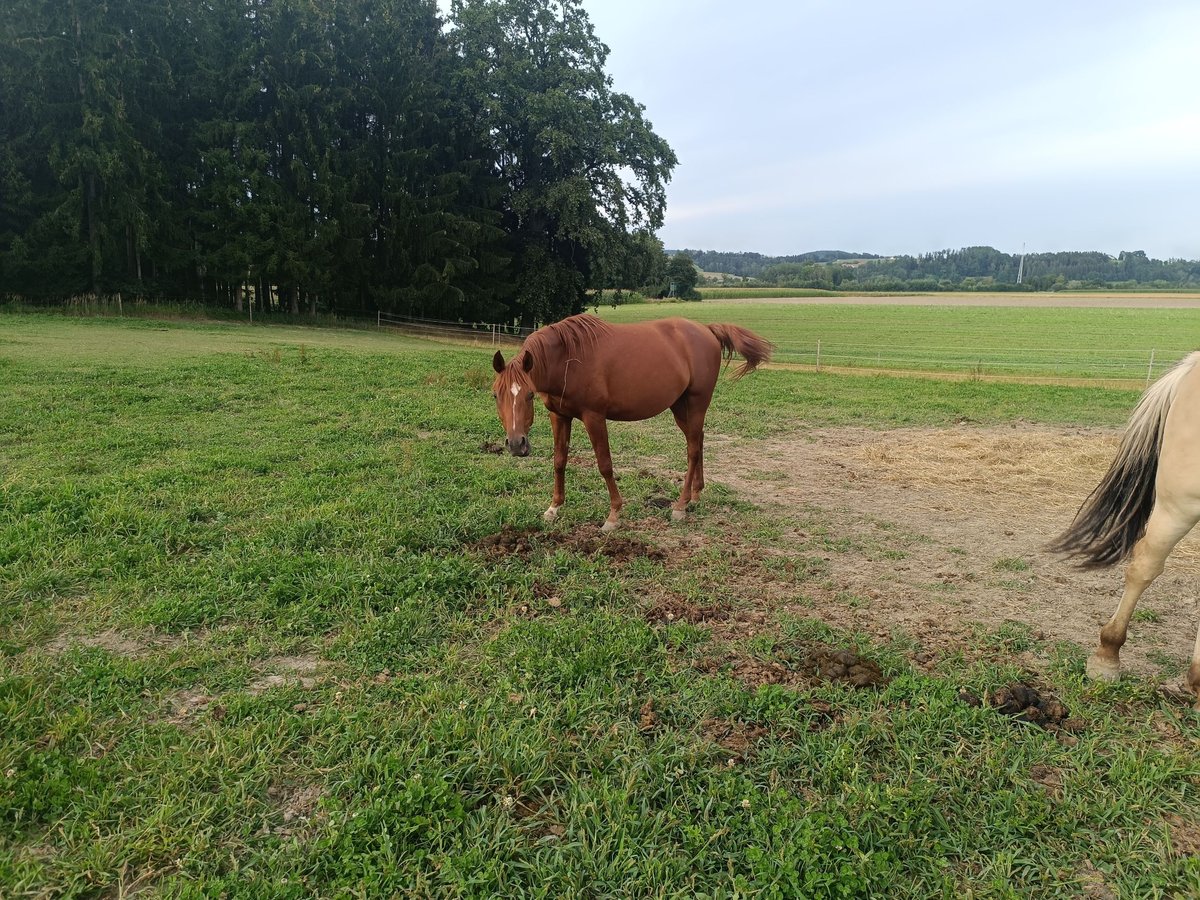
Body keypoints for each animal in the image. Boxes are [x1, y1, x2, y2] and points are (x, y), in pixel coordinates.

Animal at [492, 314, 772, 532]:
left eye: (529, 394)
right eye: (495, 395)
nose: (516, 445)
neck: (568, 358)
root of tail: (706, 330)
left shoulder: (594, 417)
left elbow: (605, 465)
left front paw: (614, 515)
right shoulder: (559, 416)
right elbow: (559, 461)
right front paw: (554, 508)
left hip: (696, 404)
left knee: (693, 450)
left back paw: (680, 506)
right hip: (681, 408)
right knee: (699, 441)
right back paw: (696, 495)